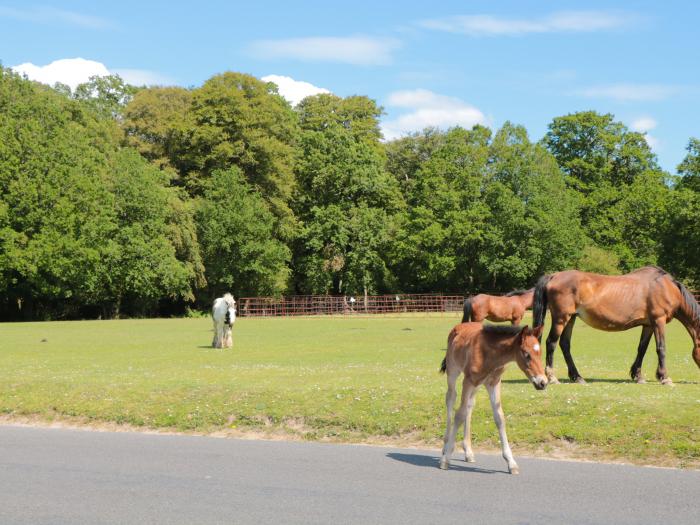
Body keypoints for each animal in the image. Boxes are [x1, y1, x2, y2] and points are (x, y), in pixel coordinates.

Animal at [438, 322, 548, 472]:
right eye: (527, 354)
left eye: (540, 353)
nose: (543, 382)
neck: (490, 355)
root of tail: (460, 326)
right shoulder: (468, 381)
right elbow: (459, 415)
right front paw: (446, 458)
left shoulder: (493, 383)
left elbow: (499, 417)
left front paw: (511, 462)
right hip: (453, 371)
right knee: (451, 398)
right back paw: (445, 447)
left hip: (477, 385)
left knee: (469, 405)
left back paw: (468, 452)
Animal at [532, 266, 700, 384]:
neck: (666, 287)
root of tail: (553, 276)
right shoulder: (659, 321)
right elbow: (661, 348)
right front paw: (665, 377)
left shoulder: (648, 325)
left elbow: (642, 349)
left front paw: (638, 376)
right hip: (561, 318)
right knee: (551, 342)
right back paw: (553, 378)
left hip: (571, 318)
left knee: (565, 344)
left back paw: (578, 377)